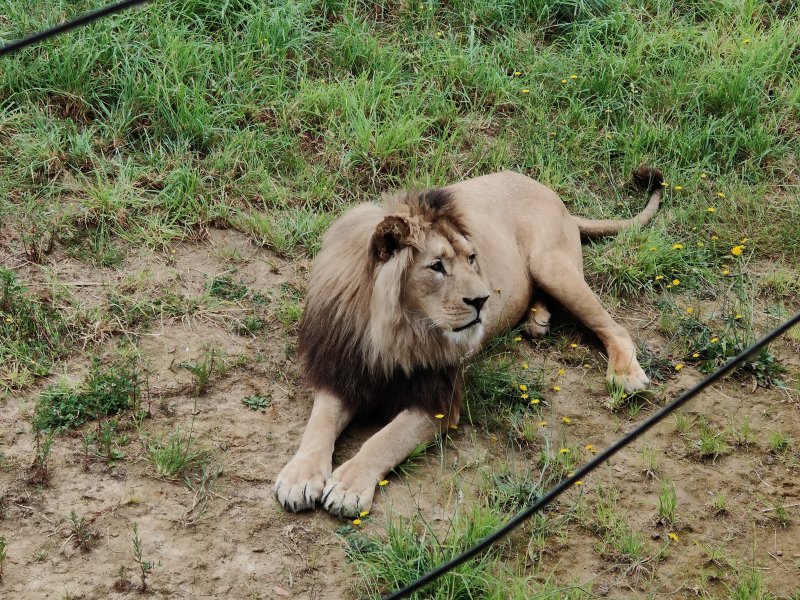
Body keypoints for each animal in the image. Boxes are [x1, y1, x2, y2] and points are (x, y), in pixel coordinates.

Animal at [274, 167, 663, 518]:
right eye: (436, 266)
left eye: (472, 259)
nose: (483, 300)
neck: (394, 332)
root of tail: (551, 194)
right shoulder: (342, 368)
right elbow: (319, 424)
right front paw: (300, 476)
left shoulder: (439, 399)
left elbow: (384, 440)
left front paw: (348, 486)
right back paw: (537, 320)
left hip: (551, 265)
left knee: (615, 327)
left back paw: (625, 374)